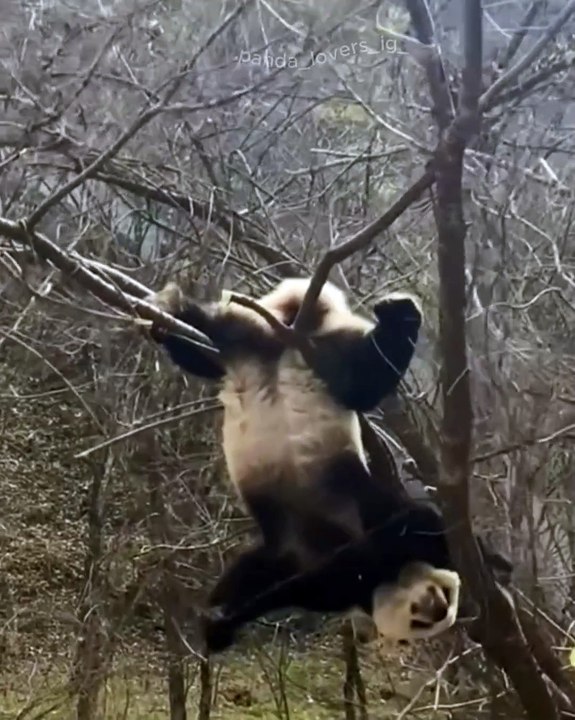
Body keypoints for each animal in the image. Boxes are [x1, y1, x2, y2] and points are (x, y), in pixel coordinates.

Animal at [146, 276, 462, 651]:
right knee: (364, 380)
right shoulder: (388, 522)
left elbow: (267, 576)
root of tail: (294, 336)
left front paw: (220, 616)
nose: (437, 608)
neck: (386, 580)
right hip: (322, 350)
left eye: (441, 610)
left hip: (254, 339)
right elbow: (409, 527)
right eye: (422, 617)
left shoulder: (319, 580)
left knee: (205, 349)